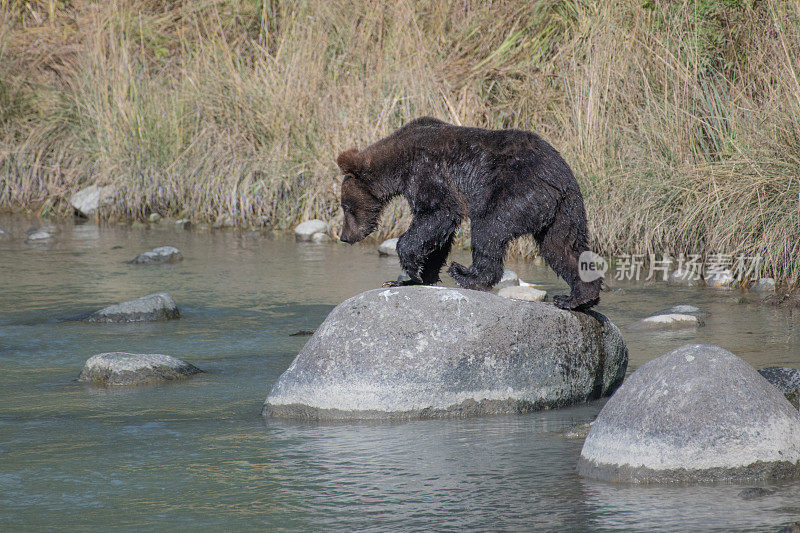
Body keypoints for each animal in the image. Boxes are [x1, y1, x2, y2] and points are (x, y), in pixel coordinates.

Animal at [336, 114, 600, 310]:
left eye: (345, 207)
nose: (344, 236)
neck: (398, 163)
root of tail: (558, 176)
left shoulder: (428, 171)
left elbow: (437, 214)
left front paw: (411, 267)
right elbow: (438, 238)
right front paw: (413, 278)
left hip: (516, 190)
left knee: (489, 228)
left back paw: (466, 274)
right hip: (565, 209)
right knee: (562, 248)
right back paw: (577, 298)